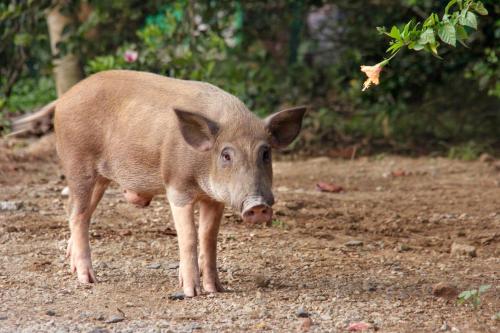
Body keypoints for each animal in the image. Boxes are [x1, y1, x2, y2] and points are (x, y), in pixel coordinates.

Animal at [48, 70, 304, 296]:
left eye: (265, 153)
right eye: (226, 155)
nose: (257, 205)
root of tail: (64, 98)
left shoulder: (214, 199)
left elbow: (208, 238)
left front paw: (217, 289)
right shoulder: (177, 186)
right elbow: (189, 237)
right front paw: (192, 292)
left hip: (101, 178)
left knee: (81, 213)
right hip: (78, 166)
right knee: (77, 214)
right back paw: (88, 279)